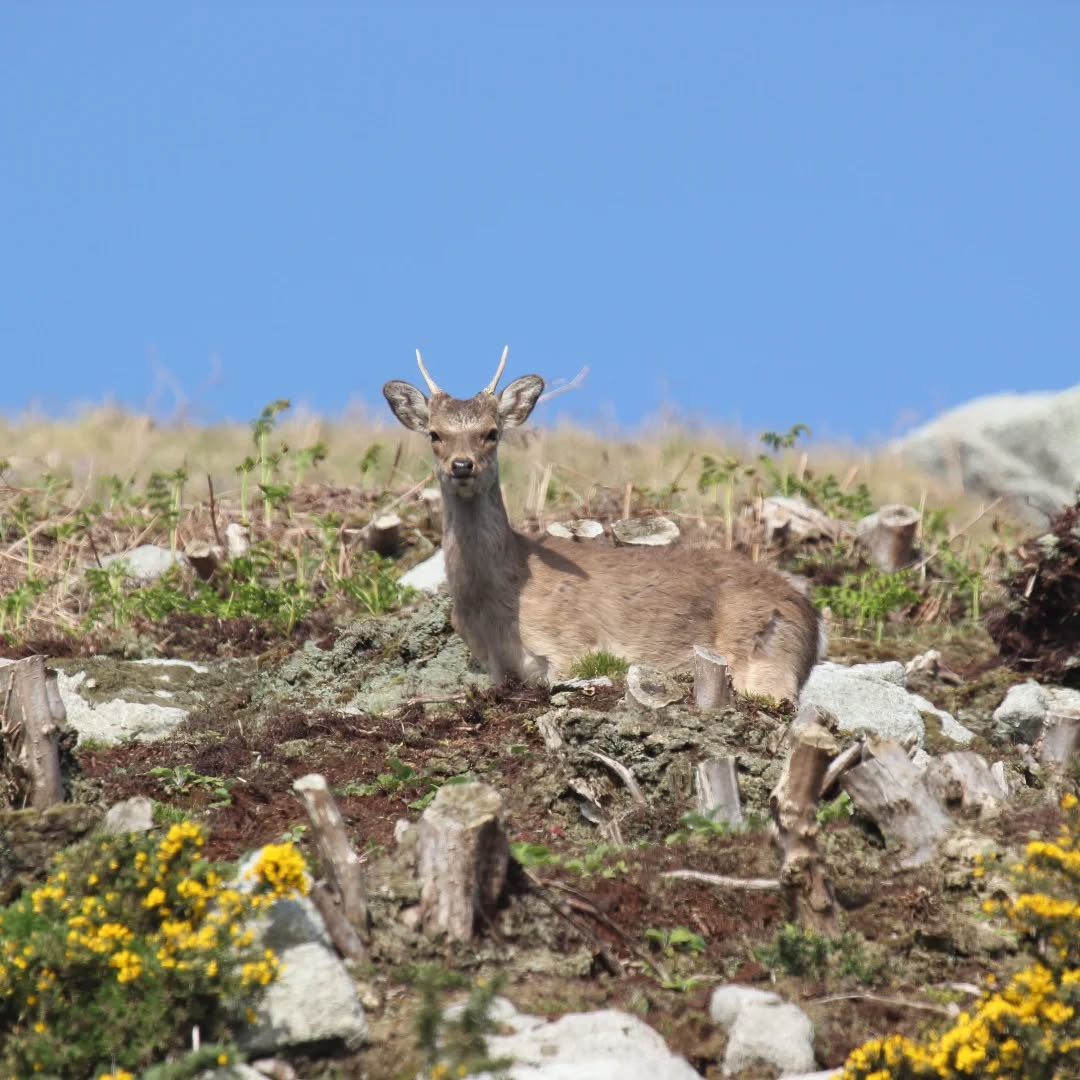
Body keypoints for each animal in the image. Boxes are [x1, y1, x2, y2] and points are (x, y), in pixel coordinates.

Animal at [382, 348, 825, 701]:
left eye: (491, 433)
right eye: (434, 434)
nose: (462, 466)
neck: (496, 604)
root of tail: (810, 617)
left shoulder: (572, 645)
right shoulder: (493, 663)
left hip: (768, 656)